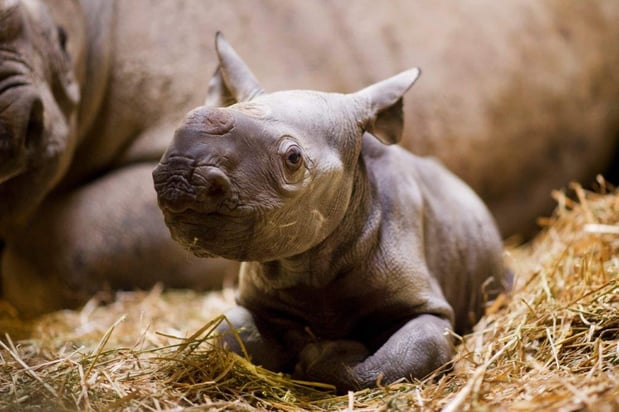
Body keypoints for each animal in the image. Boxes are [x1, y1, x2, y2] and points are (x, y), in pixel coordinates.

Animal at [154, 33, 508, 392]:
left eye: (293, 158)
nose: (179, 176)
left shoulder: (430, 309)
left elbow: (395, 360)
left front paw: (328, 352)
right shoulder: (253, 300)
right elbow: (234, 333)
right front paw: (302, 344)